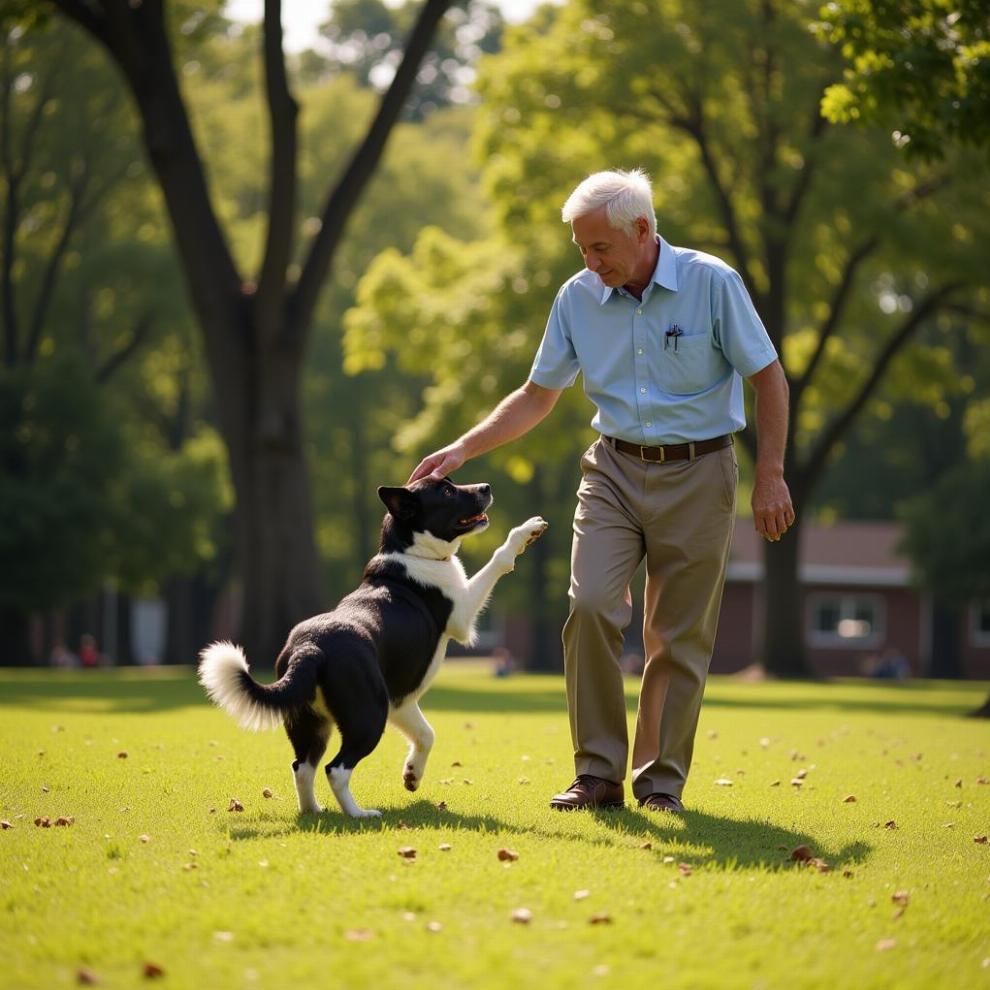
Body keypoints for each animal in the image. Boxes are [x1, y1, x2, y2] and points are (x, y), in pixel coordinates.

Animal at [198, 480, 548, 820]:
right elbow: (499, 559)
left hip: (311, 720)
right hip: (368, 716)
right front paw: (527, 531)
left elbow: (426, 734)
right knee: (336, 768)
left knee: (302, 766)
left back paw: (313, 811)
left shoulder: (399, 701)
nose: (486, 487)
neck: (412, 552)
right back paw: (359, 814)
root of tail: (309, 647)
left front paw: (412, 776)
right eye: (447, 491)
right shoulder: (461, 616)